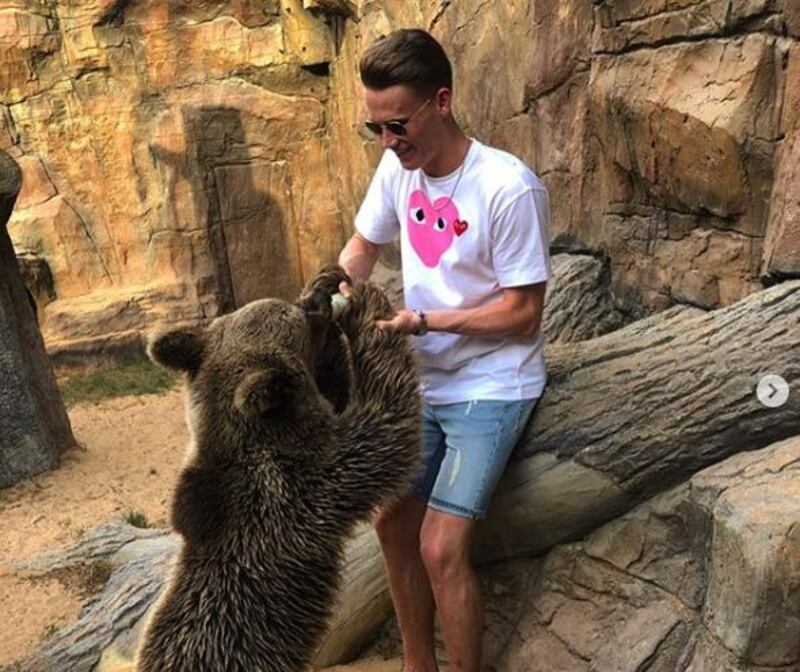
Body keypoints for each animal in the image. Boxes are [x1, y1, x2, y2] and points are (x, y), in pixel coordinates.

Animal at [134, 268, 422, 672]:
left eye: (290, 303)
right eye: (296, 314)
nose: (317, 296)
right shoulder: (311, 481)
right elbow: (386, 420)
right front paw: (366, 307)